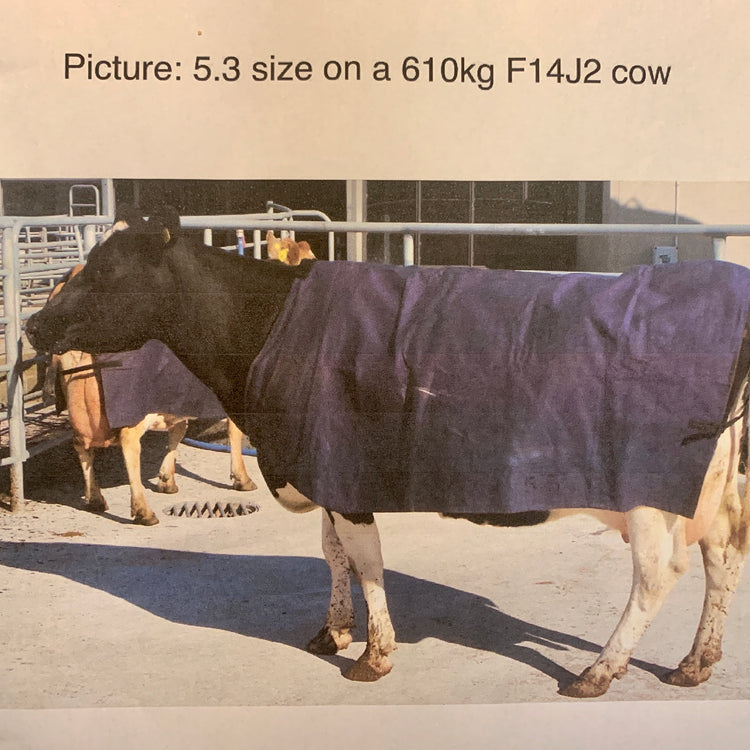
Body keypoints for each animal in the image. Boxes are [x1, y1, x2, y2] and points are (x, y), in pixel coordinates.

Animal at [25, 206, 750, 698]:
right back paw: (696, 662)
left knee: (658, 573)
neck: (268, 325)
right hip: (715, 487)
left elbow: (367, 562)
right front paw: (334, 631)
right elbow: (335, 555)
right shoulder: (320, 462)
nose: (33, 323)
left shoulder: (343, 469)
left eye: (106, 270)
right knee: (723, 555)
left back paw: (599, 670)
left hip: (651, 491)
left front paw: (373, 654)